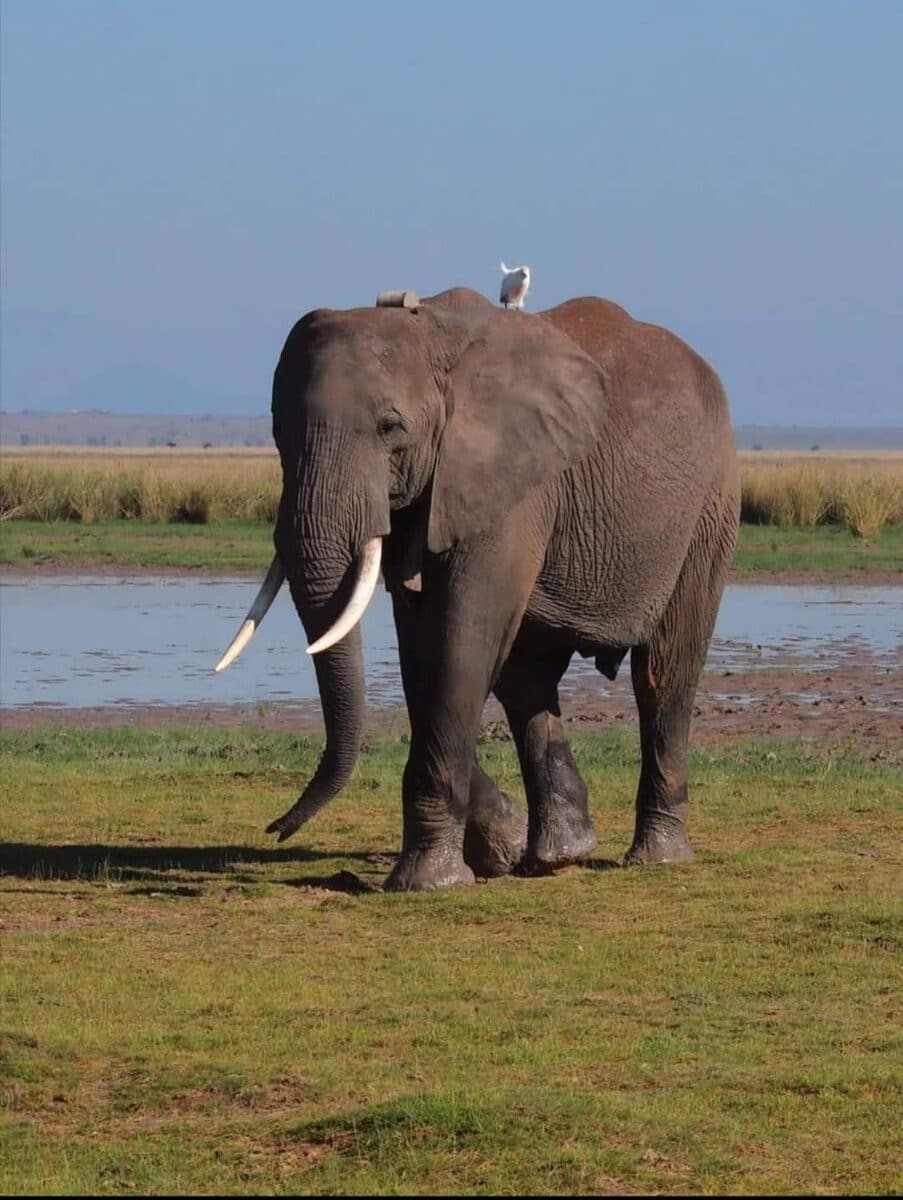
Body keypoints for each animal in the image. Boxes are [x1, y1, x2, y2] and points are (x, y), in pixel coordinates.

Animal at [216, 286, 740, 891]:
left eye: (391, 428)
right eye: (278, 430)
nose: (275, 828)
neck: (428, 332)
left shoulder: (507, 483)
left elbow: (460, 643)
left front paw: (428, 882)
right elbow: (423, 655)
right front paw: (498, 845)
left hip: (708, 506)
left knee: (663, 670)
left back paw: (655, 857)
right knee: (526, 677)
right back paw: (559, 854)